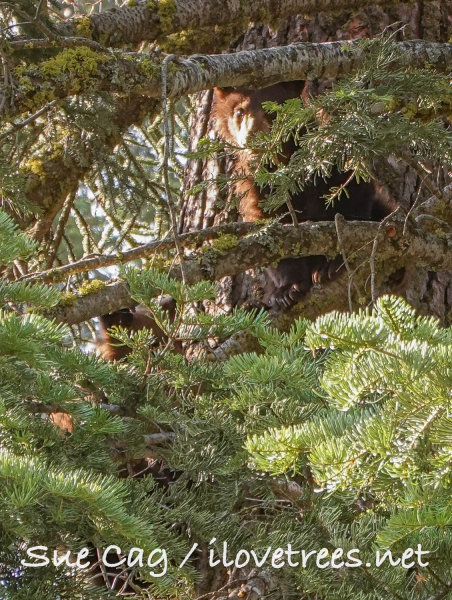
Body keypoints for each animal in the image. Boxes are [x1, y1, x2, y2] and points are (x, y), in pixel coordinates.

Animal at [211, 81, 396, 308]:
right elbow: (272, 235)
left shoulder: (329, 162)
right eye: (239, 111)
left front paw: (331, 264)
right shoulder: (256, 189)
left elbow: (350, 200)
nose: (253, 137)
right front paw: (287, 289)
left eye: (272, 110)